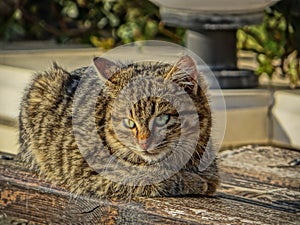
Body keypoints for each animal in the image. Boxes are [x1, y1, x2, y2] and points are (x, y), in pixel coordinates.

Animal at [17, 55, 219, 199]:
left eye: (162, 119)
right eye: (129, 122)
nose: (144, 143)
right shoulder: (91, 170)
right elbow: (150, 175)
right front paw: (194, 181)